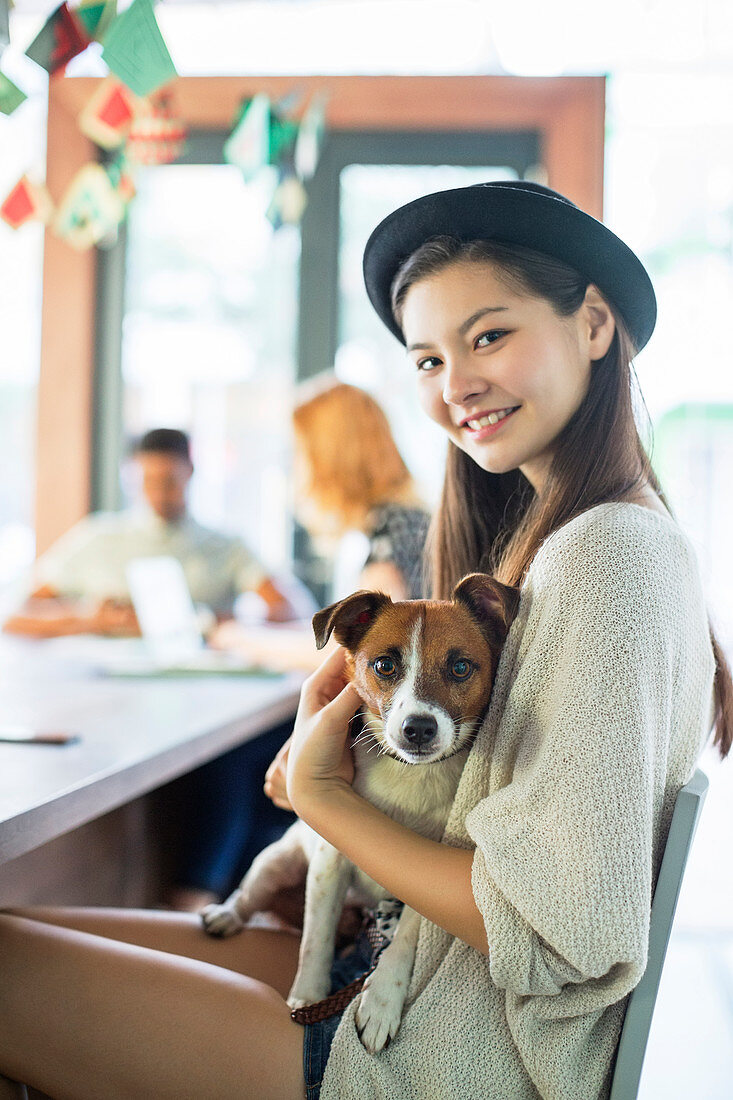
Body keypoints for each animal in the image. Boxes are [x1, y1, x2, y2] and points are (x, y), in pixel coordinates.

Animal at [202, 576, 517, 1047]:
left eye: (461, 667)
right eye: (384, 665)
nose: (417, 729)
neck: (409, 777)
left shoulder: (424, 874)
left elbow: (405, 940)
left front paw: (382, 1000)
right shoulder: (329, 862)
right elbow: (314, 939)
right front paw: (308, 997)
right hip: (274, 864)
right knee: (249, 895)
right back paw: (226, 914)